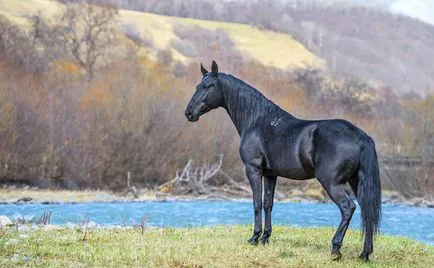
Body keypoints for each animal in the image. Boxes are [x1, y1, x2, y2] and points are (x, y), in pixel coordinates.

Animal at [185, 60, 382, 262]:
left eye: (209, 86)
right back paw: (365, 254)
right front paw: (265, 238)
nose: (189, 113)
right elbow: (268, 204)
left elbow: (256, 202)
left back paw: (336, 248)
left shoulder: (253, 169)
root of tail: (361, 136)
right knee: (367, 210)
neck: (258, 122)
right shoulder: (271, 174)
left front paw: (254, 237)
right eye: (198, 86)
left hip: (331, 182)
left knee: (348, 207)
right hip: (355, 181)